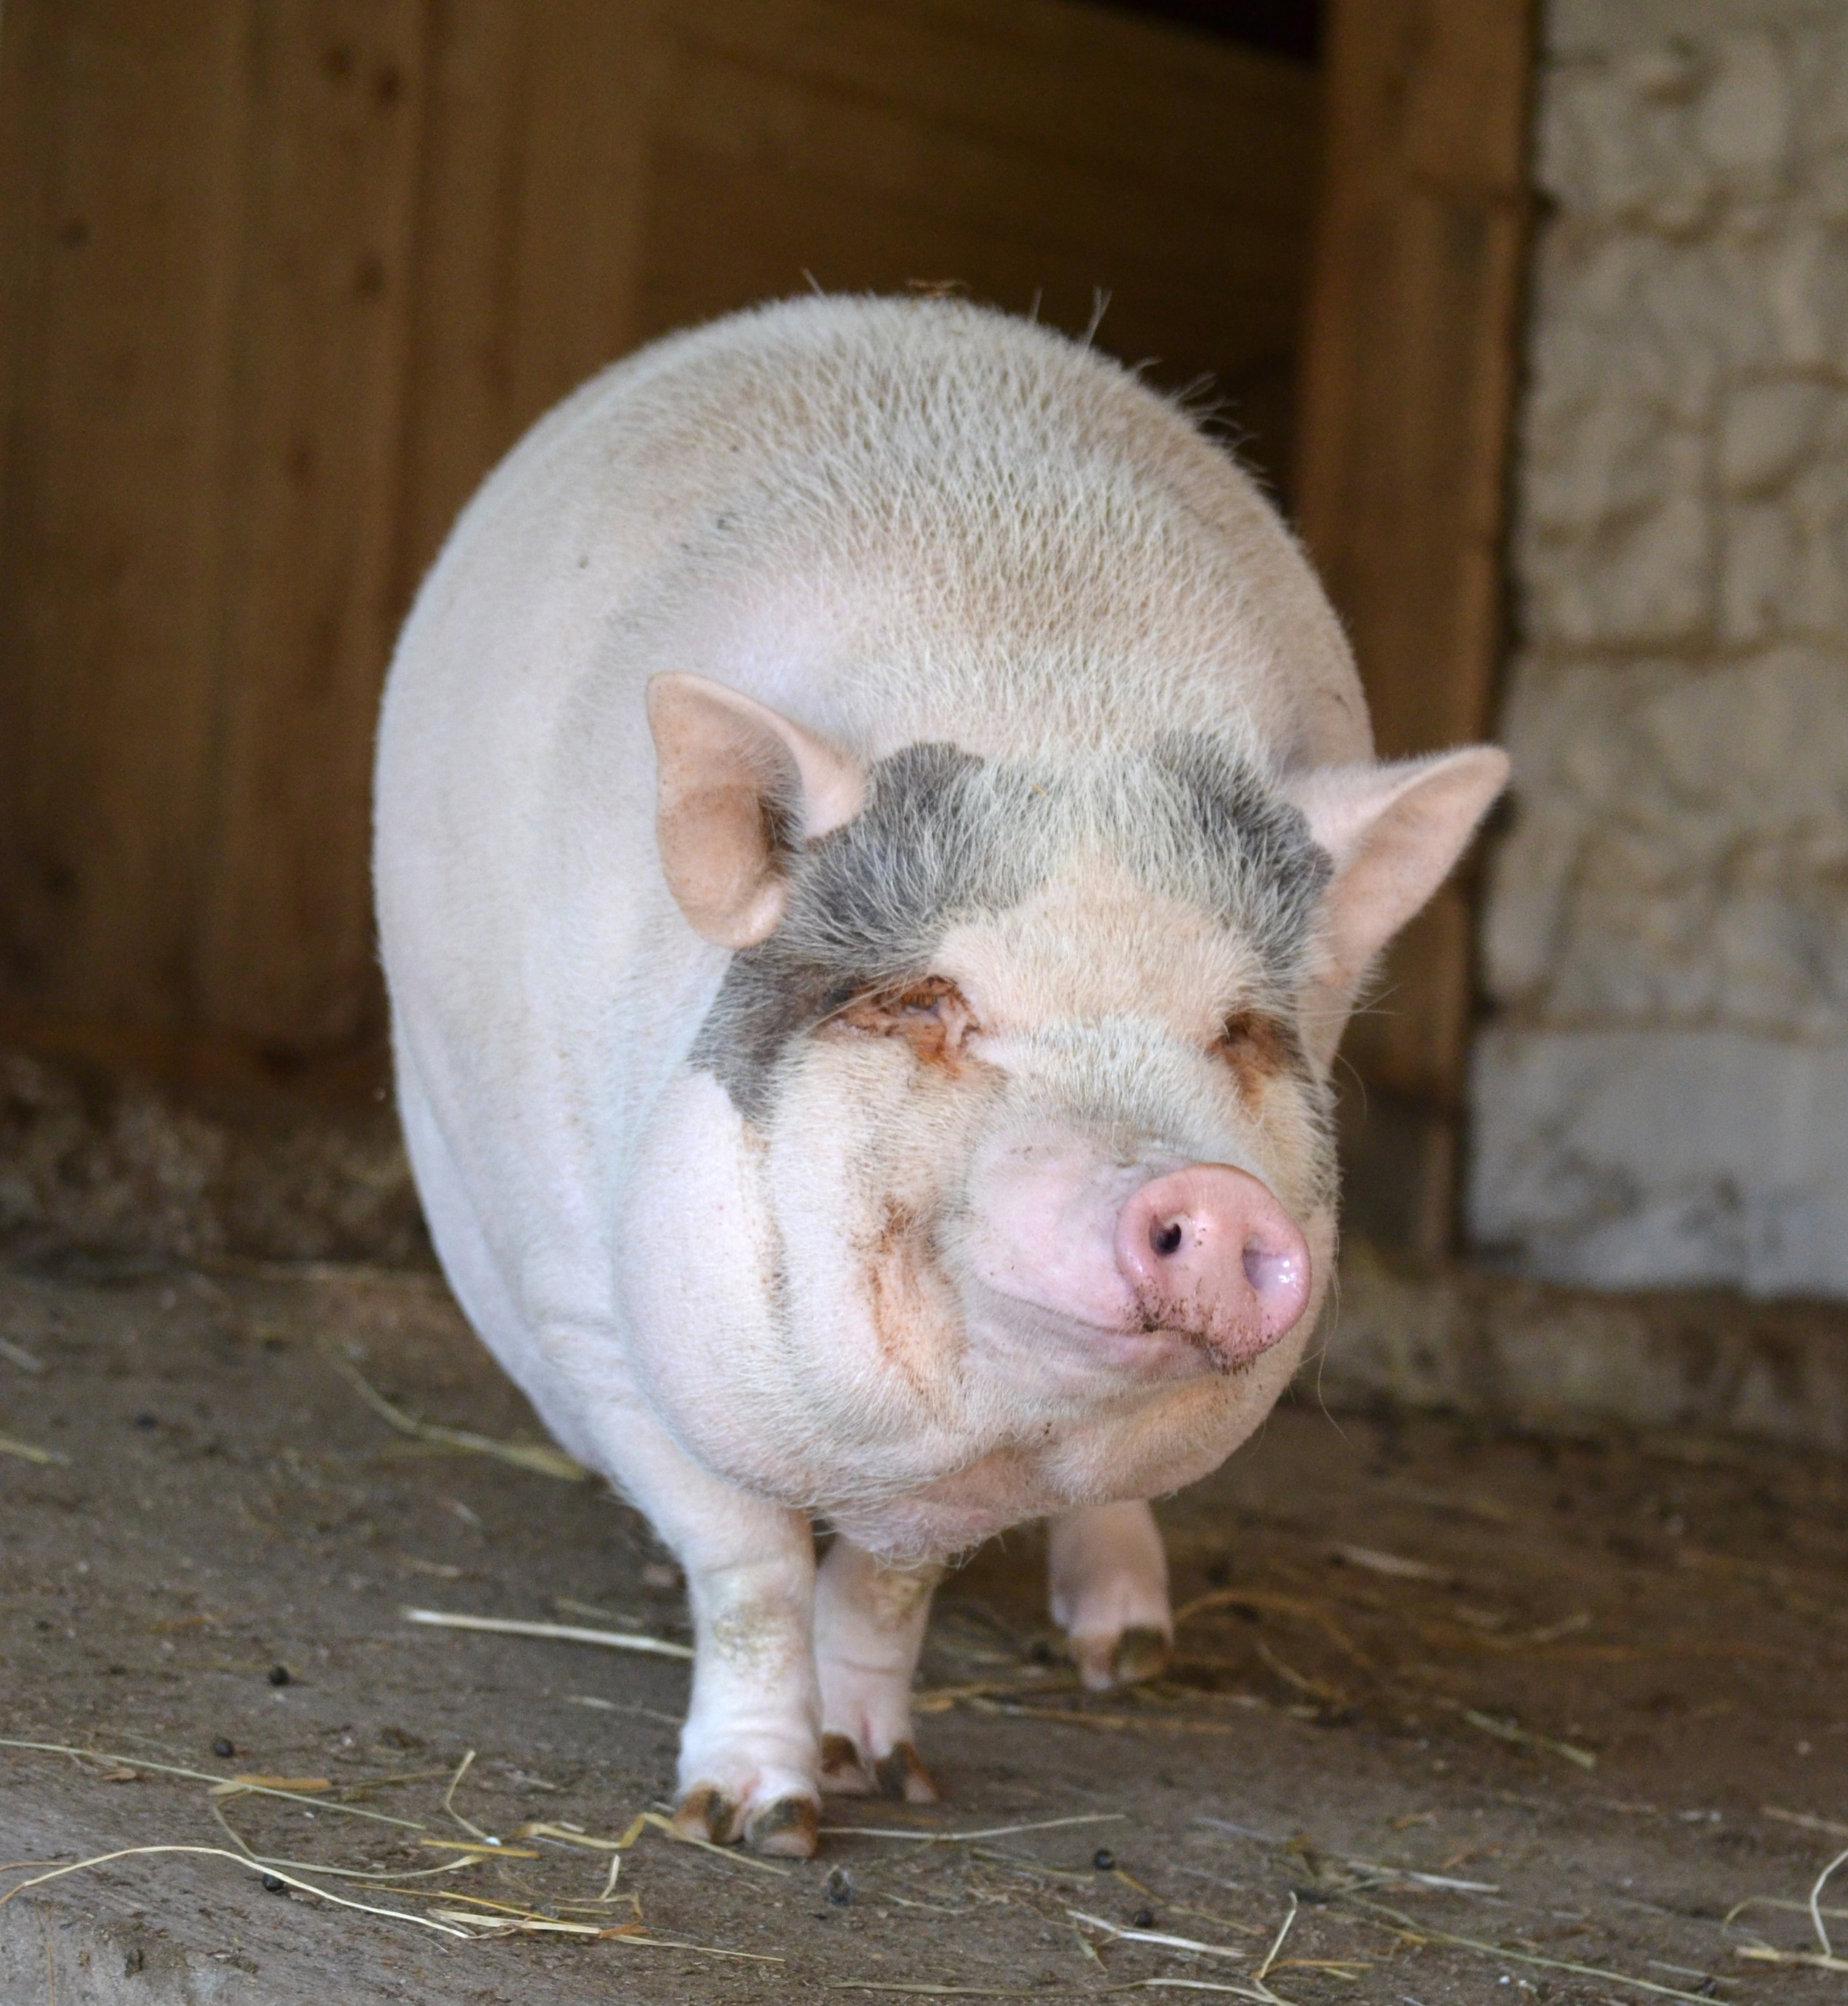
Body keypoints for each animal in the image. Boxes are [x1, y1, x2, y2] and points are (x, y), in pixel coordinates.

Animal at [374, 295, 1507, 1857]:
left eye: (1238, 1028)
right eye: (932, 1000)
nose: (1210, 1194)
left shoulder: (963, 1487)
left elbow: (889, 1581)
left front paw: (880, 1771)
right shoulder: (581, 1312)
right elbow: (747, 1562)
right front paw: (762, 1821)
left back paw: (1126, 1651)